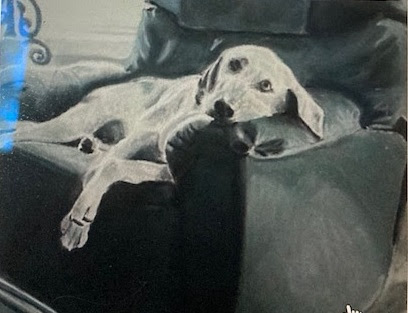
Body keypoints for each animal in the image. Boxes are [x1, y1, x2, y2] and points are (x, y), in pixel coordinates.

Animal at [0, 44, 326, 249]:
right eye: (235, 64)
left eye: (266, 86)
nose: (223, 107)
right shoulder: (138, 138)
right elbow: (107, 167)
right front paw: (81, 211)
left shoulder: (166, 171)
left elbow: (113, 167)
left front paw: (81, 213)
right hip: (74, 122)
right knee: (25, 129)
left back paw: (91, 145)